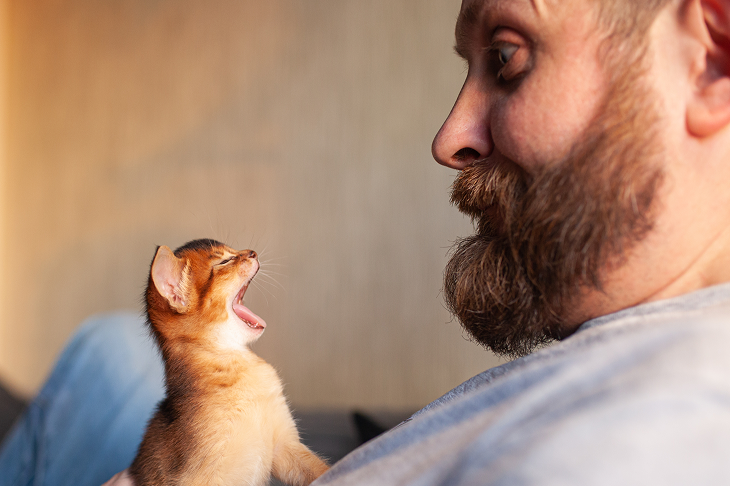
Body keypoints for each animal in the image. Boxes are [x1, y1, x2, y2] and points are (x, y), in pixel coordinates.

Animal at [129, 239, 329, 486]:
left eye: (233, 251)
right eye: (224, 262)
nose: (252, 252)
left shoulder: (285, 446)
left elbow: (322, 470)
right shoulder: (197, 478)